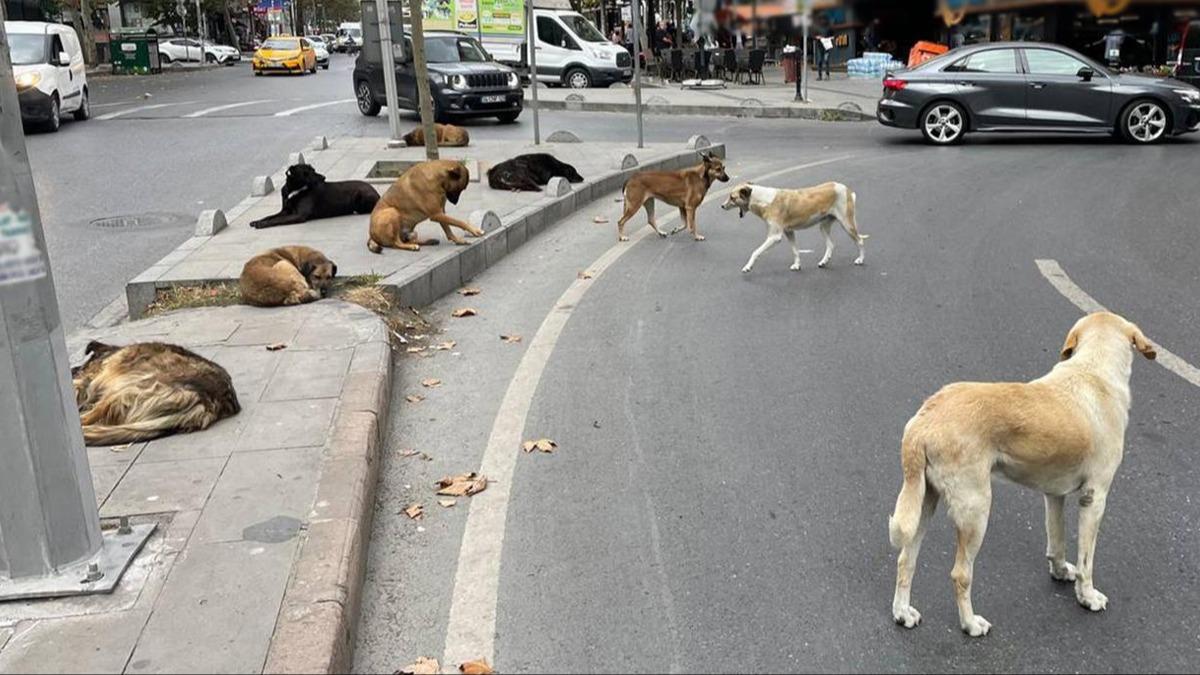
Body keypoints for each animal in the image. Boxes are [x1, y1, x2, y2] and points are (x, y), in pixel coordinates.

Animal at [250, 162, 381, 228]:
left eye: (314, 170)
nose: (324, 177)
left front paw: (262, 224)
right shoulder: (285, 210)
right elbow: (270, 216)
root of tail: (377, 192)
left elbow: (277, 220)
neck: (294, 189)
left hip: (361, 195)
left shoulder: (299, 215)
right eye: (306, 173)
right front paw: (257, 221)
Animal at [715, 181, 868, 273]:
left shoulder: (774, 237)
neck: (763, 200)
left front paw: (748, 266)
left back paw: (860, 260)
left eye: (732, 197)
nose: (722, 206)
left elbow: (755, 252)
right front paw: (797, 265)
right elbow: (795, 251)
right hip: (823, 226)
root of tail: (846, 188)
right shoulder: (789, 232)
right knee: (831, 245)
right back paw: (824, 262)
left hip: (847, 224)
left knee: (860, 240)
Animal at [888, 309, 1156, 634]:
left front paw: (1060, 571)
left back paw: (903, 613)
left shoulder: (1054, 495)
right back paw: (970, 624)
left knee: (906, 559)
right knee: (960, 574)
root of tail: (924, 421)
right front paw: (1087, 596)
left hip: (923, 503)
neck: (1093, 370)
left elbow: (1057, 541)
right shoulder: (1095, 498)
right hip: (975, 511)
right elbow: (1086, 562)